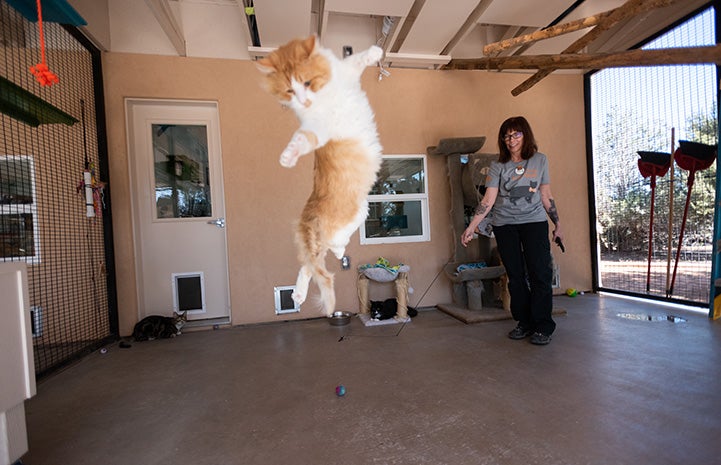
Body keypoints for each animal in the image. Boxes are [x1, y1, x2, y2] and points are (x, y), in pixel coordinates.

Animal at [258, 36, 386, 318]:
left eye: (307, 83)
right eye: (289, 91)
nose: (304, 101)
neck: (324, 95)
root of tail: (310, 211)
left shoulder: (347, 72)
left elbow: (359, 57)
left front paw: (375, 52)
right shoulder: (316, 127)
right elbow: (301, 139)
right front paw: (288, 157)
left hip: (349, 219)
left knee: (311, 263)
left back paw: (298, 294)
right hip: (353, 216)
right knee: (323, 256)